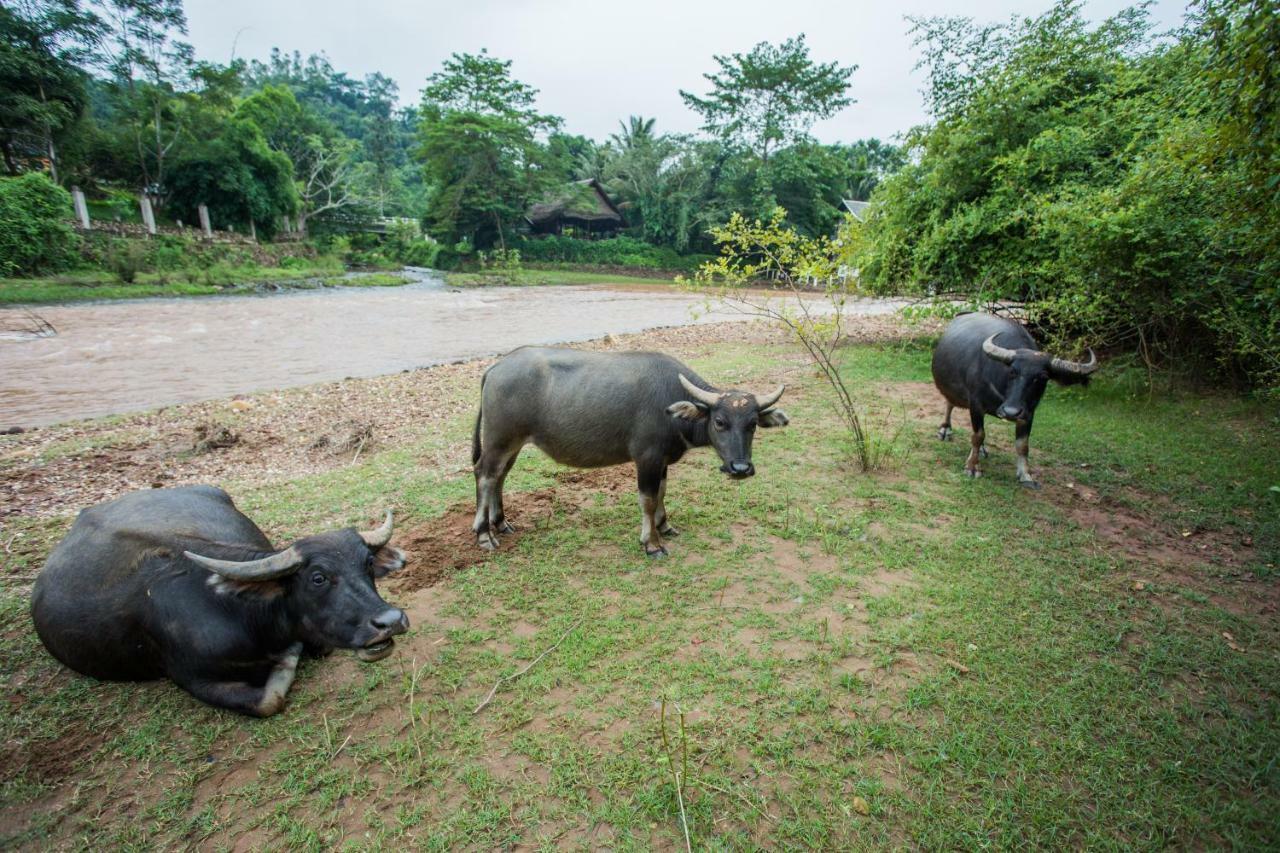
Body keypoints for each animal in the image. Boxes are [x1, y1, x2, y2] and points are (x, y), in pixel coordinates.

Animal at [471, 343, 788, 555]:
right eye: (720, 422)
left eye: (752, 424)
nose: (741, 468)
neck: (672, 406)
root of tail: (495, 368)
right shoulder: (647, 458)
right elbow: (647, 499)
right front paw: (652, 543)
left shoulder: (662, 460)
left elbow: (661, 492)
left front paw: (664, 526)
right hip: (500, 440)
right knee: (485, 475)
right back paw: (484, 534)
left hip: (512, 443)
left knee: (500, 476)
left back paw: (501, 523)